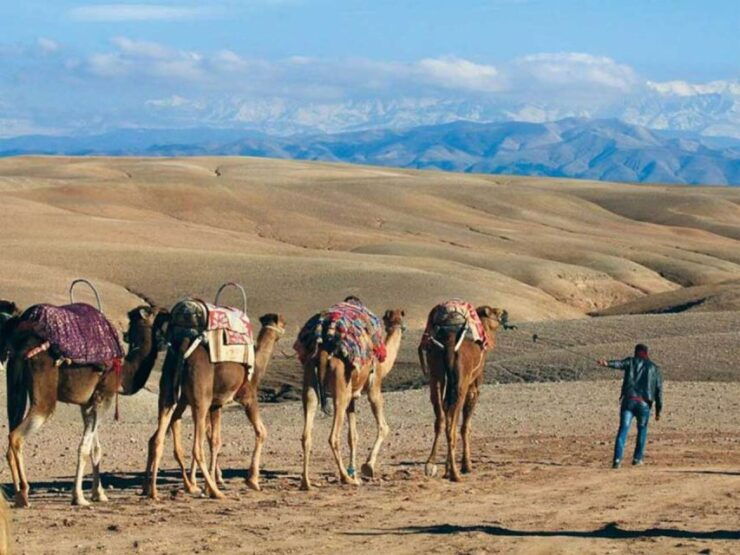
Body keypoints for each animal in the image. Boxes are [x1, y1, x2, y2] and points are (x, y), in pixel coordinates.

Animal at [3, 305, 169, 507]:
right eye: (153, 311)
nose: (166, 311)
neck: (124, 372)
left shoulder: (88, 403)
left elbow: (95, 449)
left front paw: (100, 494)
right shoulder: (104, 397)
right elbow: (84, 448)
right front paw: (79, 497)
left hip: (15, 389)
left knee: (11, 434)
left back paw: (17, 493)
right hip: (44, 396)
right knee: (16, 436)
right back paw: (24, 493)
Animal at [144, 313, 285, 500]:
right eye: (283, 322)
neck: (256, 367)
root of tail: (183, 347)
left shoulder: (216, 404)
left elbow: (215, 441)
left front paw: (209, 482)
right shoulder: (248, 397)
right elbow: (261, 431)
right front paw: (252, 481)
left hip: (169, 393)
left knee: (158, 438)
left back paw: (153, 491)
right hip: (199, 400)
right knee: (196, 447)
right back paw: (214, 492)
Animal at [300, 308, 405, 491]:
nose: (400, 326)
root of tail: (323, 353)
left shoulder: (352, 398)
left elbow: (352, 436)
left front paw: (354, 471)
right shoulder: (374, 388)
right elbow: (384, 427)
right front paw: (367, 467)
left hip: (310, 379)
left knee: (307, 431)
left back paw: (307, 483)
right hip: (340, 387)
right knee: (333, 436)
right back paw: (346, 479)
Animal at [419, 305, 508, 482]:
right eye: (495, 312)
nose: (505, 313)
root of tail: (449, 345)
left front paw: (446, 469)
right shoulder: (474, 385)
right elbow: (466, 426)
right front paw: (467, 465)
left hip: (436, 376)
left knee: (441, 420)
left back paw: (431, 465)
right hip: (461, 384)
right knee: (452, 426)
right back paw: (455, 474)